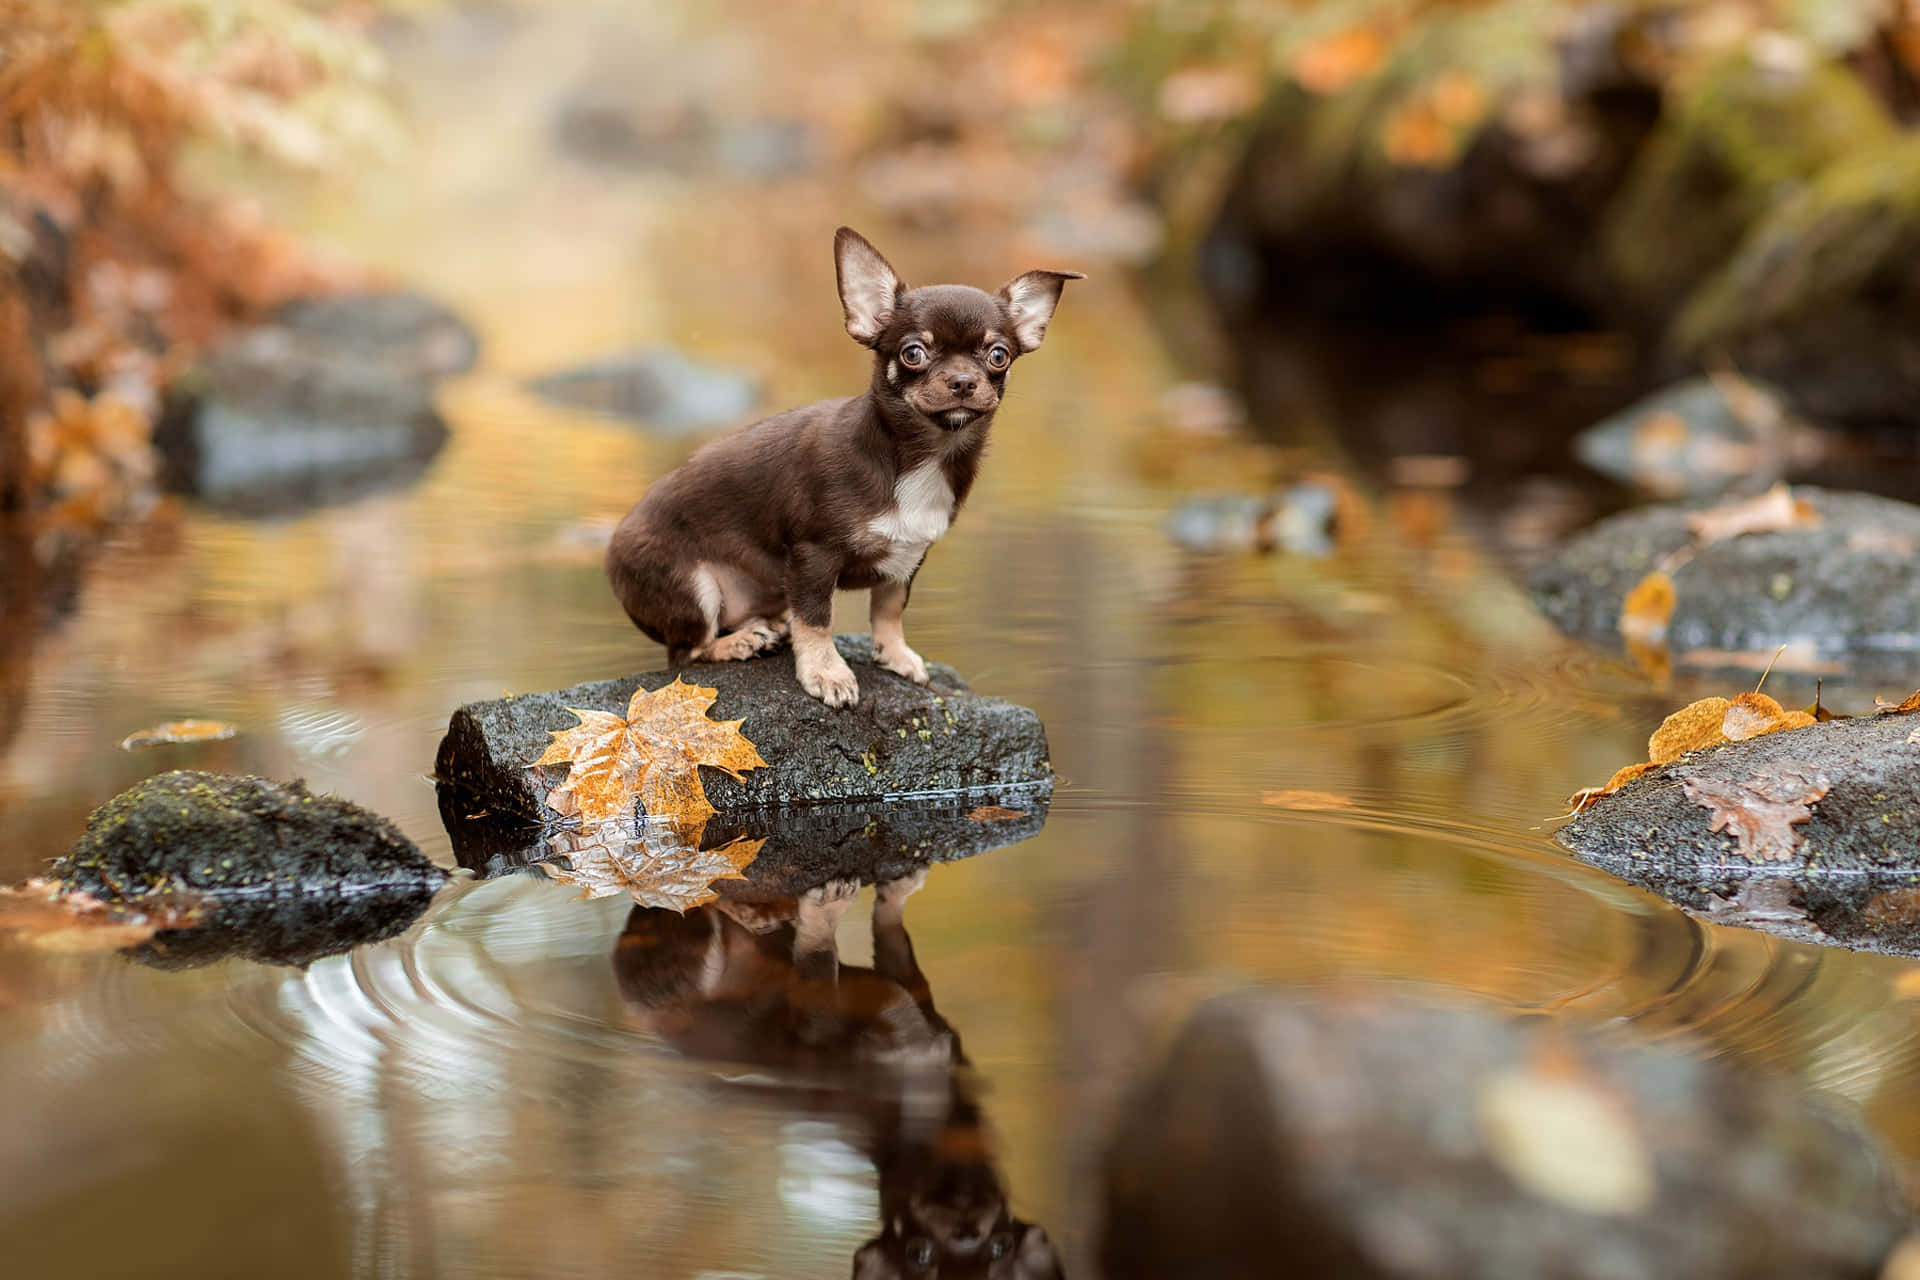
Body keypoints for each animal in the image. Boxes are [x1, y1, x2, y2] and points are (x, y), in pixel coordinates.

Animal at [602, 230, 1082, 710]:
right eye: (913, 353)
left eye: (998, 356)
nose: (963, 381)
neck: (921, 455)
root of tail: (611, 553)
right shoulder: (813, 556)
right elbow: (817, 619)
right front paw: (826, 672)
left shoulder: (909, 556)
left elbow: (889, 607)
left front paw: (895, 654)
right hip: (691, 589)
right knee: (685, 653)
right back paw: (738, 643)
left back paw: (763, 628)